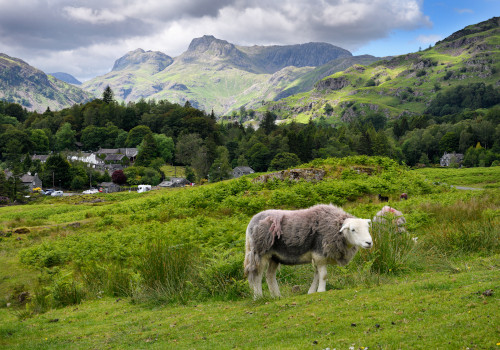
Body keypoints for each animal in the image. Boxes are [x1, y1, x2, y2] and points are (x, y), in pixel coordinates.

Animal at [244, 205, 374, 298]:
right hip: (259, 252)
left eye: (367, 228)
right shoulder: (319, 254)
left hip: (274, 257)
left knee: (269, 275)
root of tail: (251, 221)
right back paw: (259, 297)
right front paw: (321, 290)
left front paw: (312, 292)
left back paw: (277, 296)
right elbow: (323, 275)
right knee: (257, 275)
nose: (369, 242)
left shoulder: (317, 257)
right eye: (353, 230)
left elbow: (317, 275)